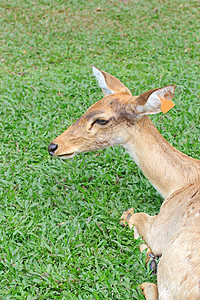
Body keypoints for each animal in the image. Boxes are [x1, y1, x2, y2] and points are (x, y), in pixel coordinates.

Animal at [47, 67, 199, 298]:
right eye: (88, 108)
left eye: (101, 120)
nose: (54, 146)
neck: (179, 185)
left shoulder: (162, 227)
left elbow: (134, 215)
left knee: (149, 286)